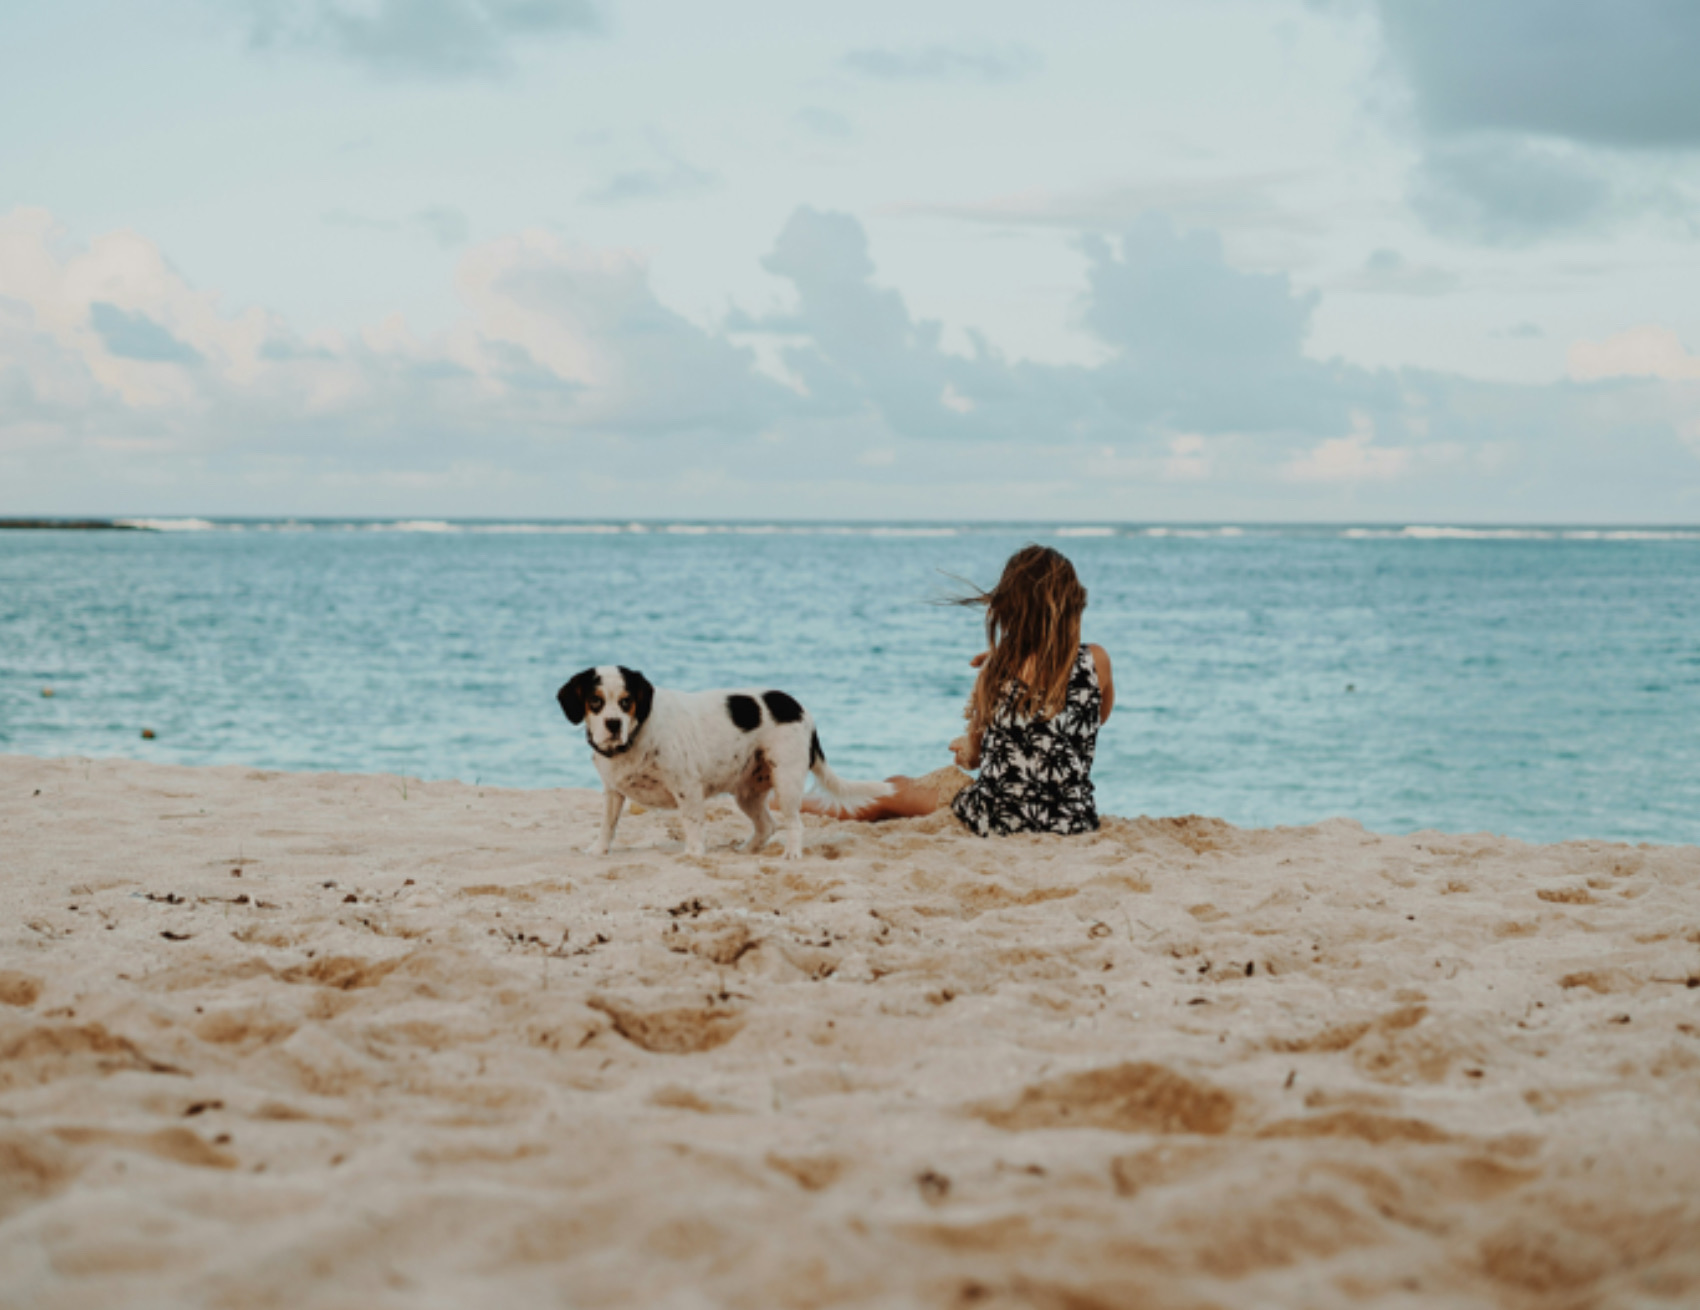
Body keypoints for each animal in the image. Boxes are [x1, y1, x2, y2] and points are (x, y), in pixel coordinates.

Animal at [564, 666, 897, 859]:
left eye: (626, 701)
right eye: (595, 701)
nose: (613, 724)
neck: (635, 735)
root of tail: (802, 709)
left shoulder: (687, 786)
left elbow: (693, 823)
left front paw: (694, 853)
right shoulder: (613, 792)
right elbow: (607, 824)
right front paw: (599, 850)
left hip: (787, 783)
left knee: (794, 823)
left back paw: (791, 854)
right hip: (747, 794)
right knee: (767, 825)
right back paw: (747, 850)